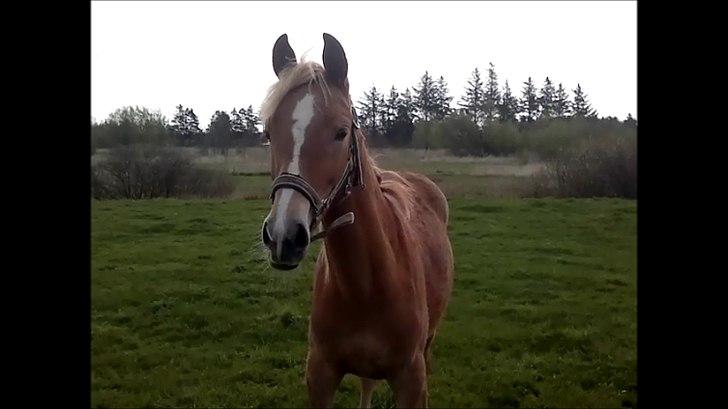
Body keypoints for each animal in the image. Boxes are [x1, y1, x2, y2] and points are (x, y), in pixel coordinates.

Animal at [259, 33, 454, 408]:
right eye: (269, 132)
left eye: (340, 132)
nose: (283, 236)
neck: (366, 284)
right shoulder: (320, 375)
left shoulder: (412, 379)